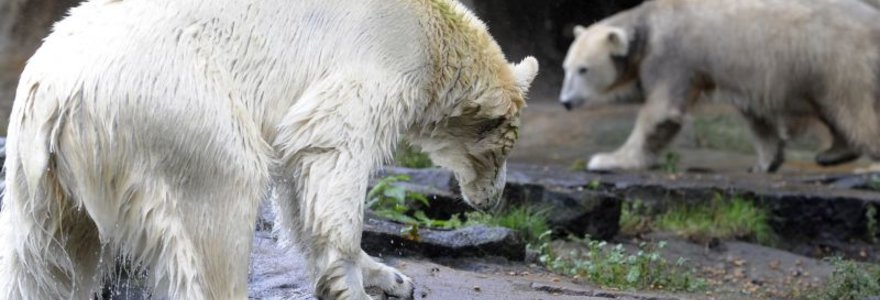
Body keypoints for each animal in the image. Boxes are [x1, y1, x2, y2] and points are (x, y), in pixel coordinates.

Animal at [0, 0, 540, 298]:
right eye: (501, 149)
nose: (493, 198)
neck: (436, 36)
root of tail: (57, 96)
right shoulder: (384, 56)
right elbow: (333, 143)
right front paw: (353, 287)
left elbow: (299, 172)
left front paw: (392, 278)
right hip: (175, 109)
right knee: (219, 208)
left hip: (35, 176)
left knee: (39, 265)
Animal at [560, 0, 880, 172]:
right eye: (566, 68)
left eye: (583, 69)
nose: (565, 101)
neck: (648, 25)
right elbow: (756, 115)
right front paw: (765, 162)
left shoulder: (672, 53)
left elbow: (661, 112)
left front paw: (608, 159)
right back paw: (833, 152)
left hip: (839, 57)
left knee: (853, 109)